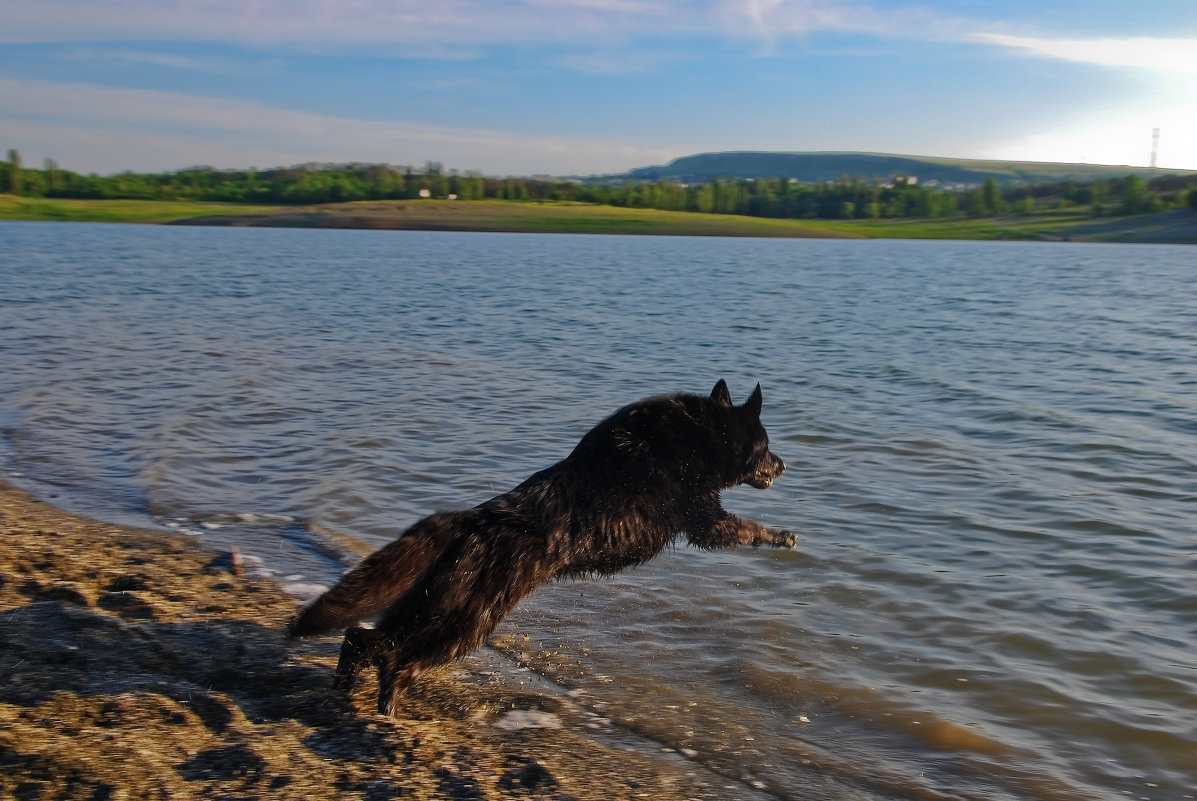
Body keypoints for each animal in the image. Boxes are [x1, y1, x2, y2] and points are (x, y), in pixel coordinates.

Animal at [287, 380, 794, 713]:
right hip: (466, 621)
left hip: (427, 607)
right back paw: (387, 710)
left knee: (360, 638)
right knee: (395, 660)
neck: (700, 435)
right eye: (767, 445)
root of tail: (474, 519)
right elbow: (747, 529)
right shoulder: (706, 519)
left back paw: (343, 690)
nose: (785, 465)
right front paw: (783, 536)